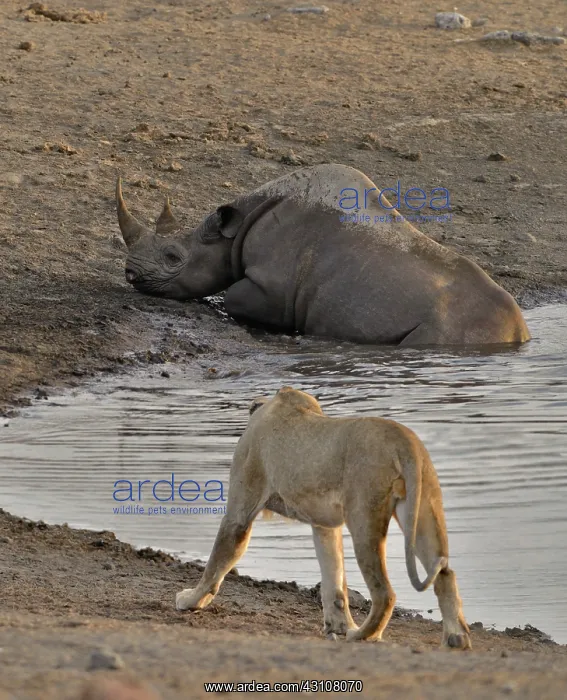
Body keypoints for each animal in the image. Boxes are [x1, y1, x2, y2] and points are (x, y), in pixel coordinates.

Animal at [116, 164, 530, 346]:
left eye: (173, 256)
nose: (130, 274)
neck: (231, 233)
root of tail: (518, 331)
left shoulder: (275, 291)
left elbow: (236, 296)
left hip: (452, 328)